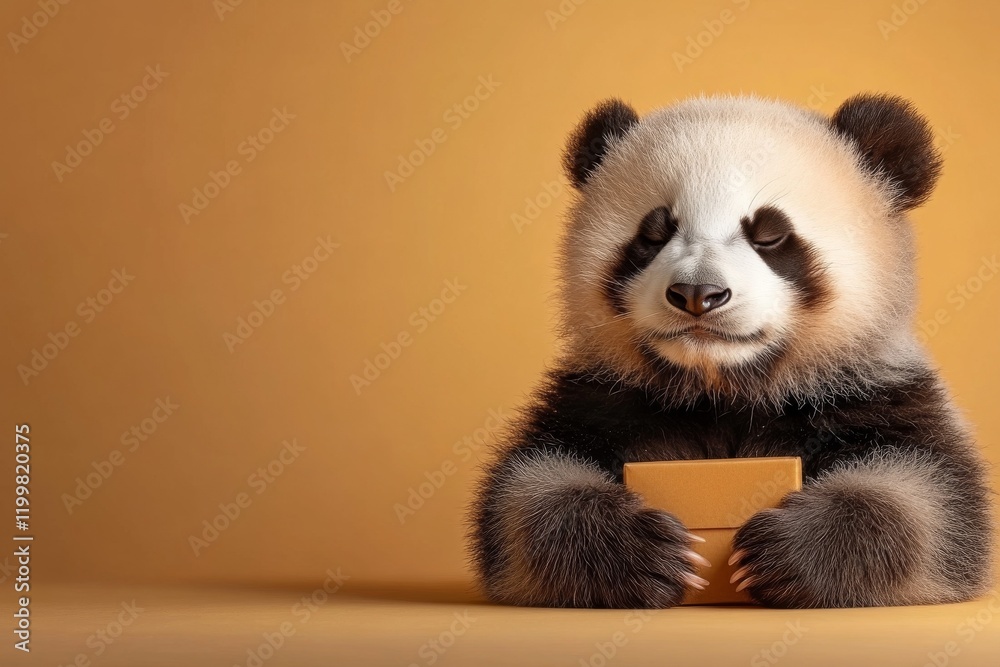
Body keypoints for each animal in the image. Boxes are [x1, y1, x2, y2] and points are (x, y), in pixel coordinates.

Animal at [470, 93, 994, 609]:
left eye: (770, 234)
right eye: (653, 233)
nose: (697, 293)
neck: (722, 387)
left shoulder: (873, 392)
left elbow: (930, 500)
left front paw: (781, 556)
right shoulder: (600, 397)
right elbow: (526, 495)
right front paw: (646, 553)